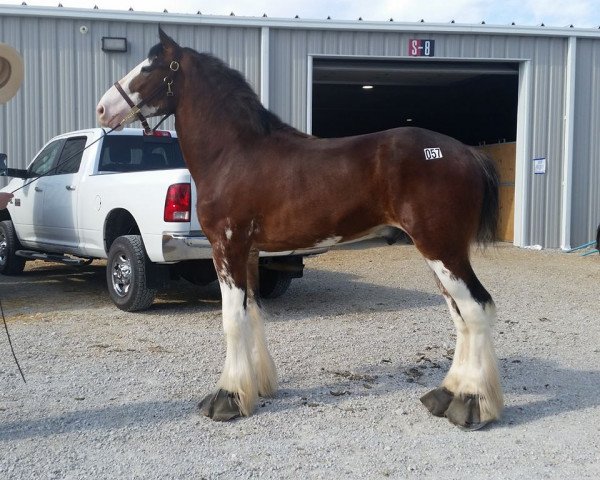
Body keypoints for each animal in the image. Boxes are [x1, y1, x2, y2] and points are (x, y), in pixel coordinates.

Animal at [96, 28, 504, 430]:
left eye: (148, 67)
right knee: (461, 315)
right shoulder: (249, 252)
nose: (102, 109)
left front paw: (227, 397)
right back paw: (447, 395)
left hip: (441, 249)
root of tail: (468, 153)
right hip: (440, 253)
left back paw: (470, 404)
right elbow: (253, 313)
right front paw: (257, 387)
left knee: (476, 308)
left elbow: (232, 320)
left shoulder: (226, 247)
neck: (234, 154)